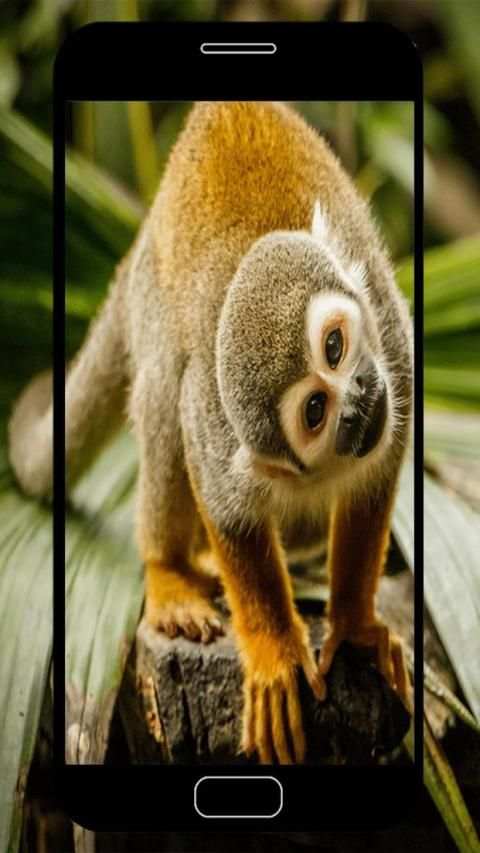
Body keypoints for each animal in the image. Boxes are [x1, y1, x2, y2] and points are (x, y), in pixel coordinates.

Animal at [9, 101, 413, 765]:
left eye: (334, 347)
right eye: (315, 411)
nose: (357, 397)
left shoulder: (393, 344)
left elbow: (372, 479)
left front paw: (353, 621)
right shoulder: (220, 426)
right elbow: (229, 509)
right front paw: (275, 653)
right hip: (152, 306)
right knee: (162, 399)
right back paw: (170, 570)